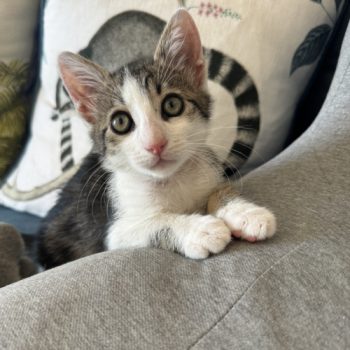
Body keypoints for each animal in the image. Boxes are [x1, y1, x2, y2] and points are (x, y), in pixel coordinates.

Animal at [37, 10, 274, 268]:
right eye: (120, 122)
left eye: (172, 105)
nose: (155, 144)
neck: (172, 179)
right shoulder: (114, 232)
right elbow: (155, 222)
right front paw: (199, 230)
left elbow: (218, 191)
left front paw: (246, 213)